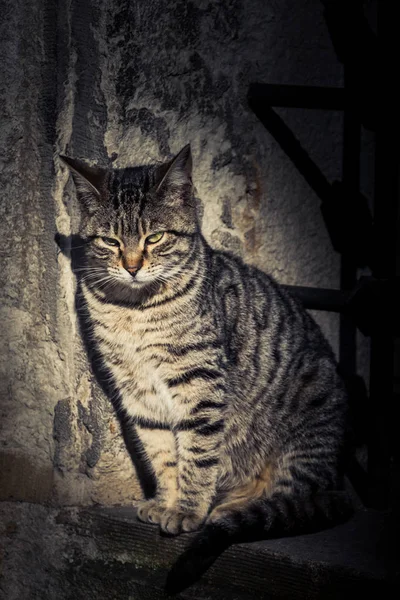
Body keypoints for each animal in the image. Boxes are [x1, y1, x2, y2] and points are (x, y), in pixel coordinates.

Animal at [61, 144, 352, 592]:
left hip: (309, 429)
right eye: (110, 241)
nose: (131, 266)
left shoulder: (200, 383)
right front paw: (167, 500)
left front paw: (187, 510)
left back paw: (231, 506)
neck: (133, 310)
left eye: (155, 237)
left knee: (294, 497)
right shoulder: (138, 392)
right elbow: (162, 454)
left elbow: (197, 455)